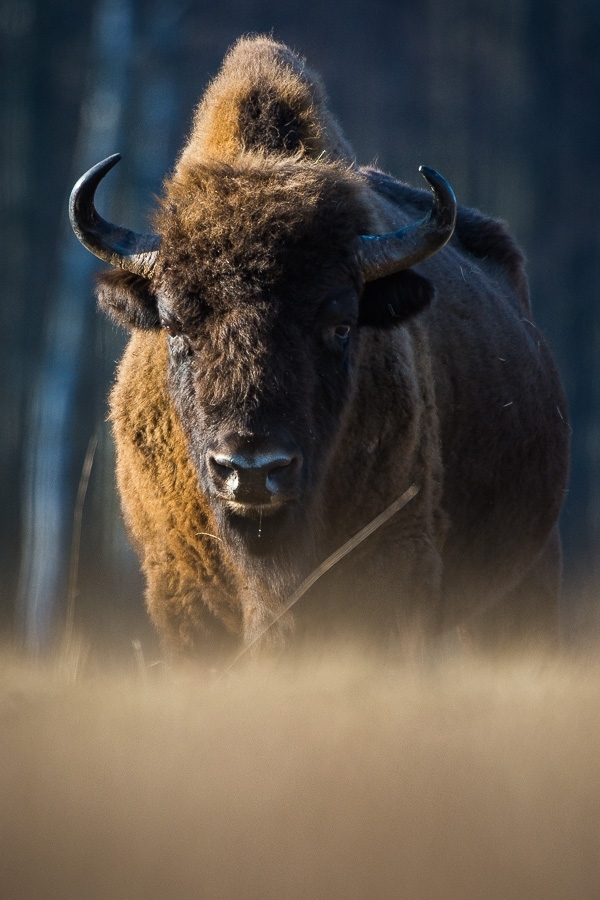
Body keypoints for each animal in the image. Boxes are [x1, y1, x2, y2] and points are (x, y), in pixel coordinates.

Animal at [70, 36, 569, 660]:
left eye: (340, 325)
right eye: (177, 327)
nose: (251, 470)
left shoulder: (394, 564)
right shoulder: (180, 589)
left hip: (523, 580)